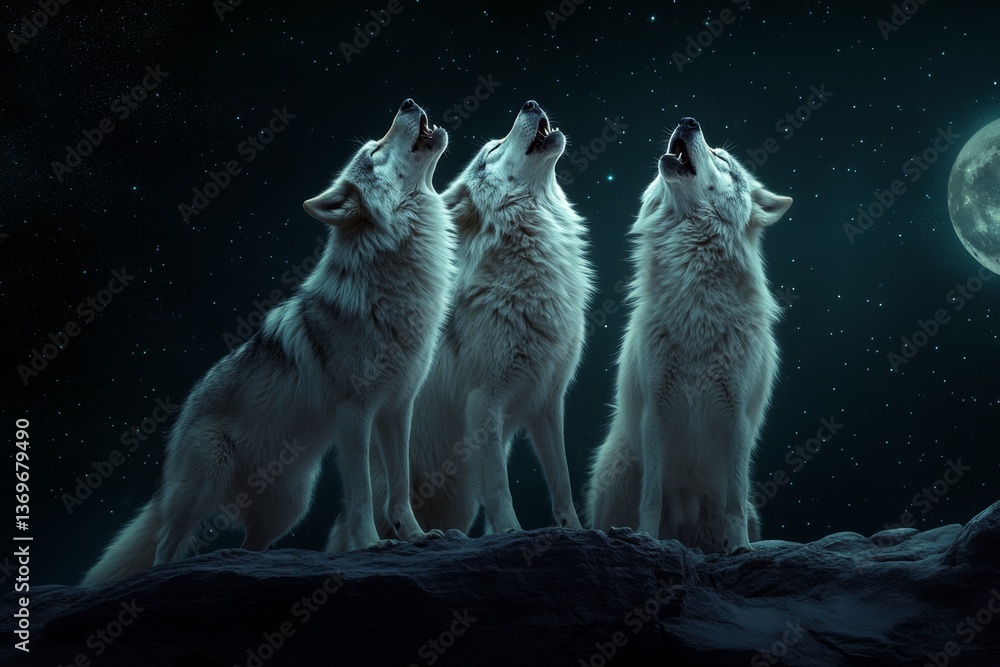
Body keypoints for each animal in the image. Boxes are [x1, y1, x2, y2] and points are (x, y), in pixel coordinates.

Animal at [82, 99, 453, 586]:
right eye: (373, 152)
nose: (408, 103)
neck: (396, 280)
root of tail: (182, 415)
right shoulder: (355, 413)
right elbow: (362, 494)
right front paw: (372, 544)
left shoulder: (398, 409)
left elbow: (400, 488)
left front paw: (416, 536)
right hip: (203, 487)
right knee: (165, 546)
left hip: (289, 507)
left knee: (247, 548)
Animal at [328, 100, 594, 548]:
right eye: (492, 151)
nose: (531, 104)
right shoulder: (484, 400)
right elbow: (500, 485)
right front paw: (511, 532)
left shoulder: (548, 401)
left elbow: (561, 479)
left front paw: (574, 530)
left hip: (457, 501)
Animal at [585, 117, 792, 554]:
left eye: (722, 159)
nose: (688, 121)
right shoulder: (655, 411)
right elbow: (651, 496)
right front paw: (645, 539)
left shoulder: (737, 416)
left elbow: (735, 499)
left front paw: (740, 548)